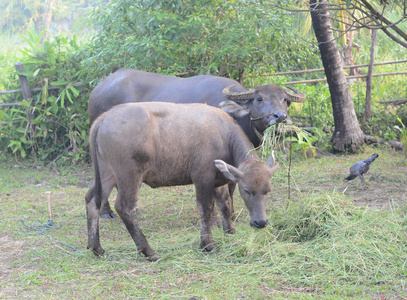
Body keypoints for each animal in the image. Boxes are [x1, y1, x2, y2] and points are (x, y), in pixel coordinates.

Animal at [84, 101, 278, 260]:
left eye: (268, 190)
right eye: (246, 190)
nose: (260, 222)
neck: (224, 135)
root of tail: (104, 118)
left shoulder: (218, 180)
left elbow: (225, 204)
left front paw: (230, 230)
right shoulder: (202, 178)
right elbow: (205, 209)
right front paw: (208, 244)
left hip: (107, 173)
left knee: (92, 200)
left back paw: (96, 247)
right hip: (129, 175)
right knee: (125, 207)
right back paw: (148, 251)